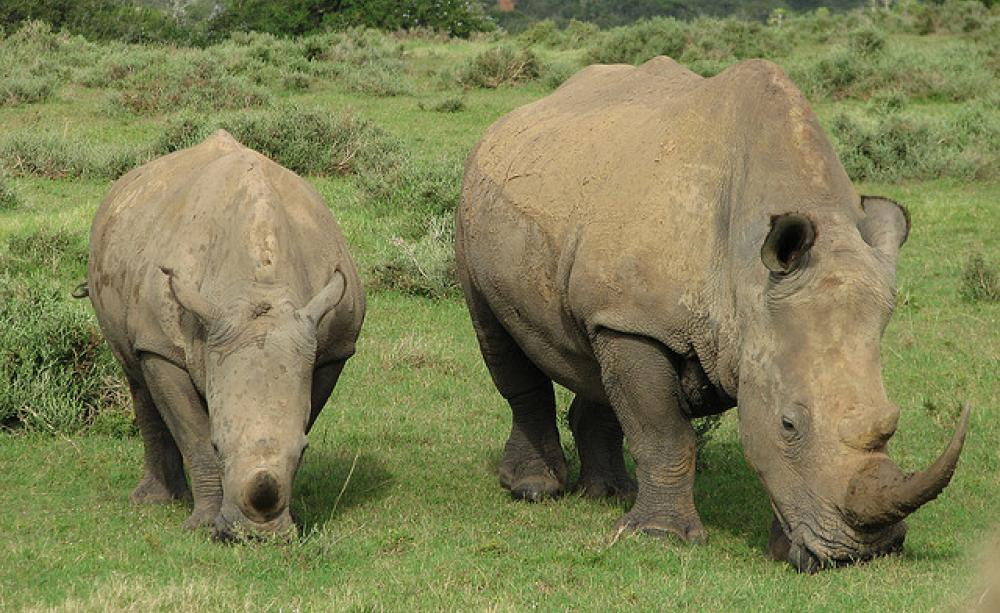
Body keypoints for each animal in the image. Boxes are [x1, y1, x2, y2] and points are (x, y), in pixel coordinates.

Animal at [87, 130, 365, 537]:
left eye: (304, 451)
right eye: (219, 448)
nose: (256, 536)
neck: (258, 287)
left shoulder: (333, 347)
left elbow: (303, 413)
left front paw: (291, 518)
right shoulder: (163, 346)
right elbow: (195, 435)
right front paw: (203, 525)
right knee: (136, 373)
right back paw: (154, 501)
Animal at [455, 57, 970, 572]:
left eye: (891, 419)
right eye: (788, 425)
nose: (865, 554)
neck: (750, 279)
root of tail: (506, 121)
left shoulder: (654, 318)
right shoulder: (639, 323)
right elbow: (663, 432)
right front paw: (660, 537)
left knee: (596, 360)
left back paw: (608, 495)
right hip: (473, 206)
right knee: (499, 338)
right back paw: (534, 489)